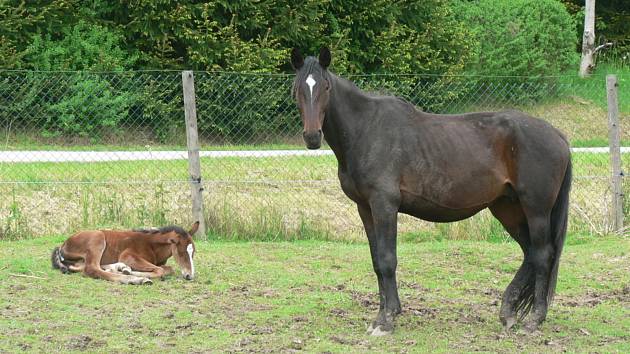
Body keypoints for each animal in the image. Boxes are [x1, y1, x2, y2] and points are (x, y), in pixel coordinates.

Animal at [52, 221, 200, 284]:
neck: (152, 245)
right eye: (181, 252)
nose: (189, 276)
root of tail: (63, 244)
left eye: (193, 252)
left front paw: (126, 269)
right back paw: (135, 279)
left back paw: (120, 268)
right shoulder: (128, 255)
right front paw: (134, 273)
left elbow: (168, 269)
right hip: (97, 238)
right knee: (91, 269)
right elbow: (160, 270)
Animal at [292, 49, 572, 334]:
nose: (312, 136)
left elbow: (387, 259)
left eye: (326, 87)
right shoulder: (365, 208)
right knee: (530, 253)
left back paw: (534, 320)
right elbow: (376, 261)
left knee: (542, 255)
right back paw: (508, 312)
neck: (366, 130)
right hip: (508, 209)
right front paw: (382, 316)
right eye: (298, 88)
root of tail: (558, 136)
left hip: (536, 210)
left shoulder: (384, 205)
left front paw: (387, 319)